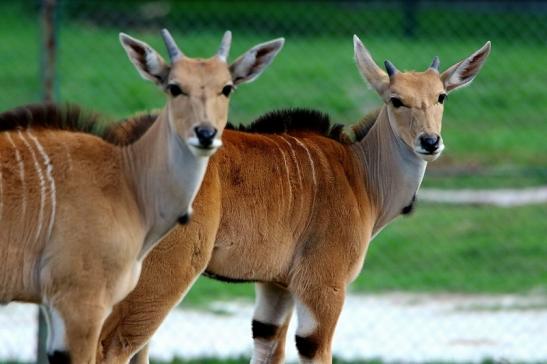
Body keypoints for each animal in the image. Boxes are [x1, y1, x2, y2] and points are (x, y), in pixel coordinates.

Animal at [96, 35, 490, 362]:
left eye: (441, 96)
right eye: (396, 100)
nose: (430, 142)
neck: (360, 173)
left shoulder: (276, 287)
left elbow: (268, 347)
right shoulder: (322, 285)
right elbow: (315, 350)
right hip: (162, 274)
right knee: (112, 346)